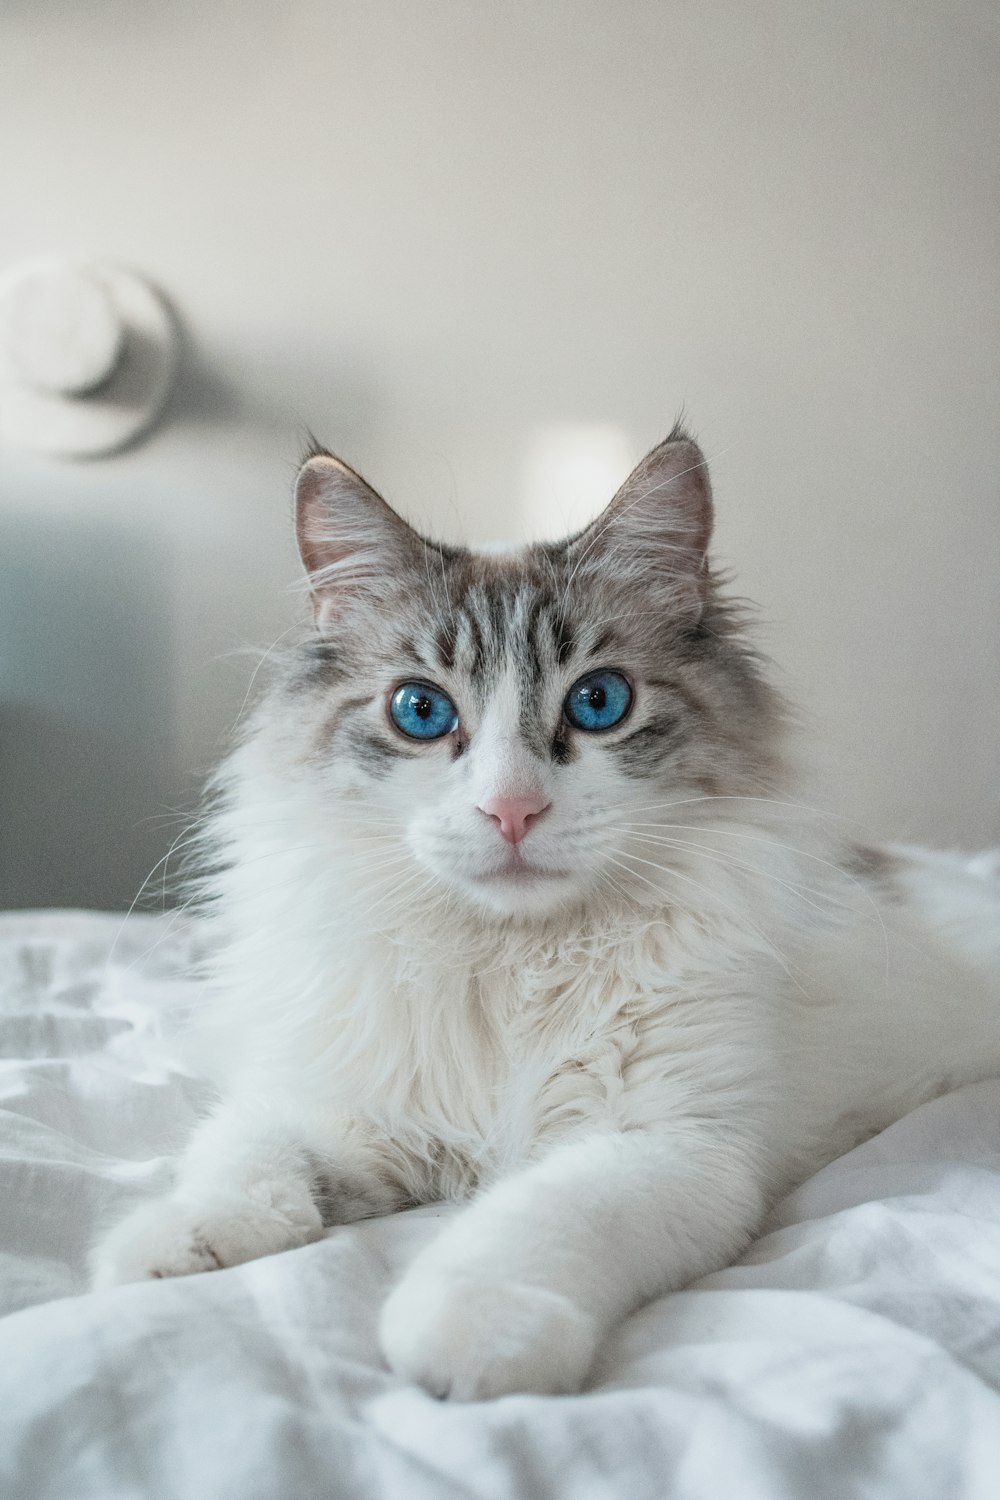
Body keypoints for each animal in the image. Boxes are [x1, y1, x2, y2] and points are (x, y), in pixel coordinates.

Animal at [91, 429, 1000, 1398]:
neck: (511, 961)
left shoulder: (667, 1143)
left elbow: (526, 1224)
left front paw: (469, 1337)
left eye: (599, 702)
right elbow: (241, 1159)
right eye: (421, 711)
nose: (512, 811)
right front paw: (166, 1248)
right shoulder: (341, 1105)